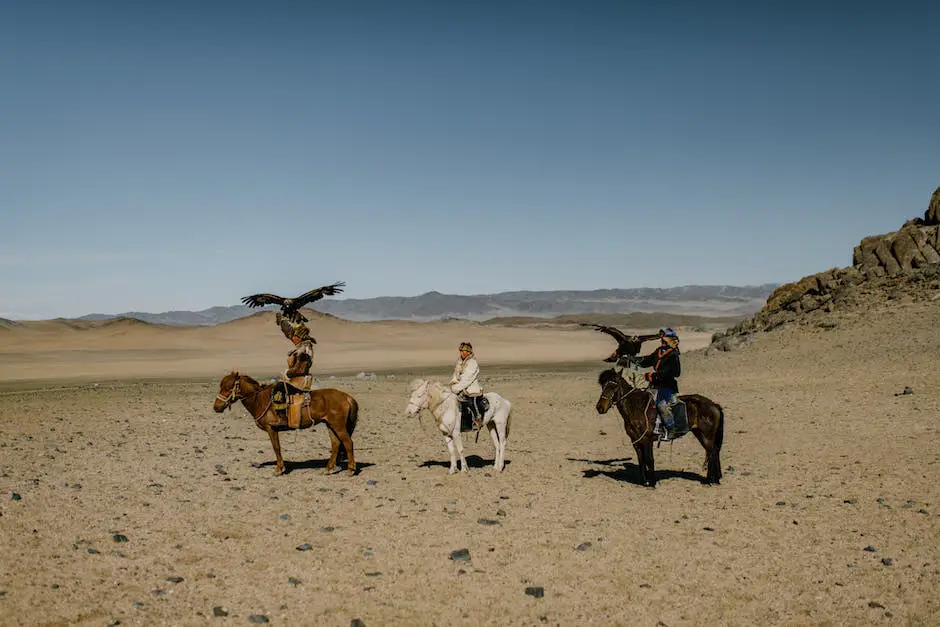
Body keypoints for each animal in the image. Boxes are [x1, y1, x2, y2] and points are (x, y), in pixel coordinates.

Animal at [214, 372, 360, 476]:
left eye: (227, 388)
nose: (216, 407)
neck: (260, 400)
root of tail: (347, 397)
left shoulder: (271, 429)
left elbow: (276, 448)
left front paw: (279, 469)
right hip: (330, 425)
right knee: (336, 444)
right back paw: (329, 469)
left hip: (338, 426)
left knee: (348, 443)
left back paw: (351, 469)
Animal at [596, 370, 728, 488]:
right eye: (603, 386)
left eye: (614, 386)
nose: (600, 408)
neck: (636, 407)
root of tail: (714, 405)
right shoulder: (636, 441)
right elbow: (641, 460)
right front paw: (643, 482)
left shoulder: (647, 439)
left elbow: (649, 459)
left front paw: (652, 483)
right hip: (700, 434)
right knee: (714, 452)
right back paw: (715, 479)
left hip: (706, 436)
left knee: (712, 453)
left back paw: (709, 481)